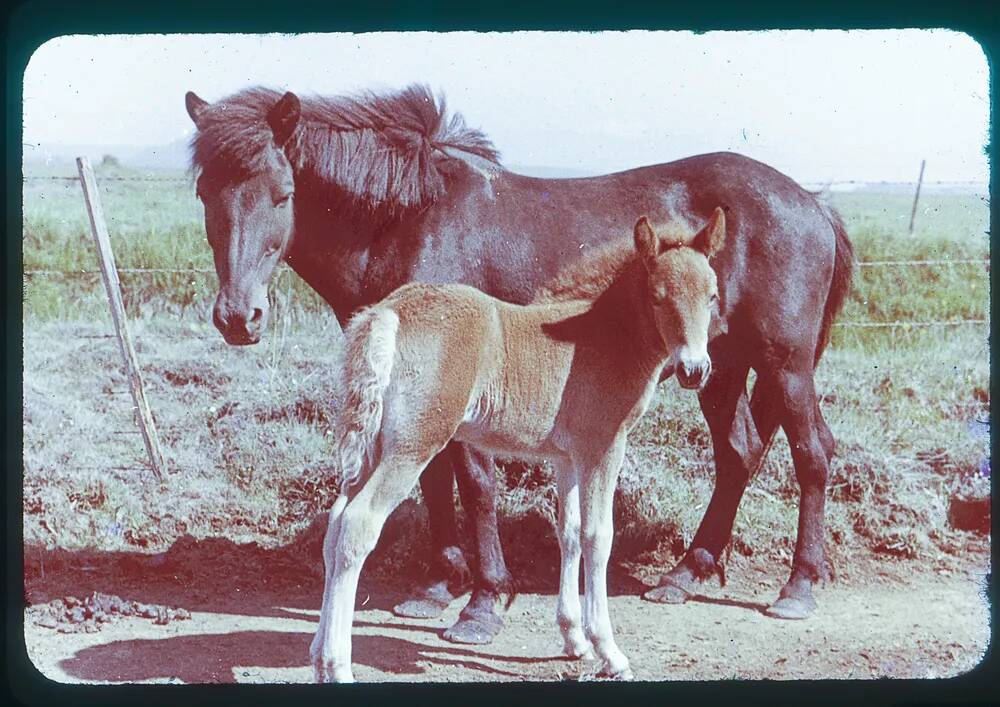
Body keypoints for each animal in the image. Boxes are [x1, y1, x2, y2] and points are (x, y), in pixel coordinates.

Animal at [312, 209, 728, 680]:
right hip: (411, 447)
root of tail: (388, 312)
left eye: (712, 296)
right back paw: (338, 666)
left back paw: (319, 659)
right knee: (357, 526)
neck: (604, 333)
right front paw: (610, 651)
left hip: (372, 447)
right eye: (658, 297)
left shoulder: (567, 457)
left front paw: (574, 640)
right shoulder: (603, 449)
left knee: (335, 525)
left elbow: (569, 533)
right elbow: (598, 537)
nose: (695, 370)